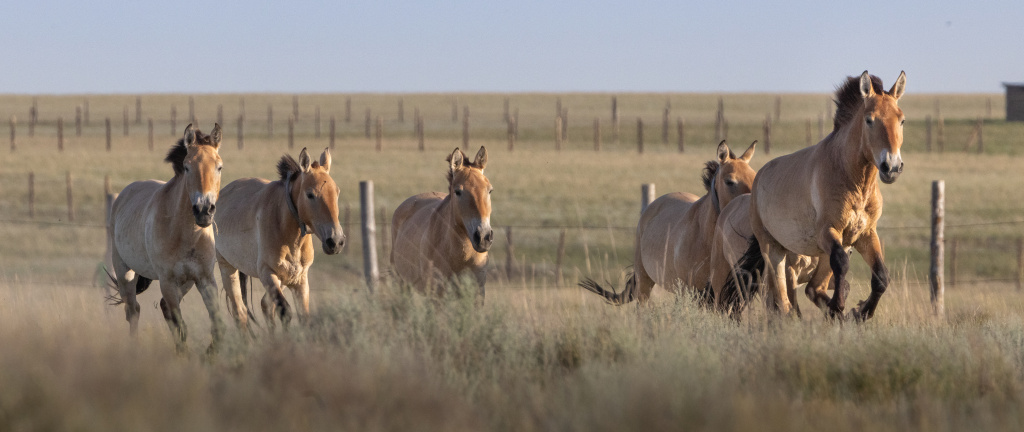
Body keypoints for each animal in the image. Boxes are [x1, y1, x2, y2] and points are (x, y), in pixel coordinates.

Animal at [108, 124, 225, 352]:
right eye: (187, 167)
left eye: (219, 167)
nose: (204, 210)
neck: (187, 234)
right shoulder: (167, 281)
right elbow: (181, 326)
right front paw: (184, 355)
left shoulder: (205, 279)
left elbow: (217, 325)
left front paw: (210, 353)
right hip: (125, 272)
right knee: (133, 311)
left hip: (186, 282)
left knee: (162, 308)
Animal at [214, 147, 345, 328]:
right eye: (310, 194)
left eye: (336, 192)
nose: (336, 241)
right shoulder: (268, 274)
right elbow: (285, 312)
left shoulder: (300, 281)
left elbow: (303, 317)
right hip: (227, 268)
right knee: (240, 313)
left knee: (265, 306)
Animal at [390, 147, 494, 299]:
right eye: (458, 191)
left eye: (490, 190)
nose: (483, 237)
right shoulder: (437, 294)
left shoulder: (478, 293)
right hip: (401, 283)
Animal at [734, 71, 906, 321]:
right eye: (869, 120)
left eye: (901, 120)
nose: (891, 167)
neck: (854, 182)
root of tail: (758, 179)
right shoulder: (828, 231)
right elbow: (842, 265)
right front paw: (840, 306)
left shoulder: (864, 235)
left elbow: (881, 276)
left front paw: (861, 312)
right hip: (773, 250)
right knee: (784, 301)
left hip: (820, 251)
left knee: (812, 289)